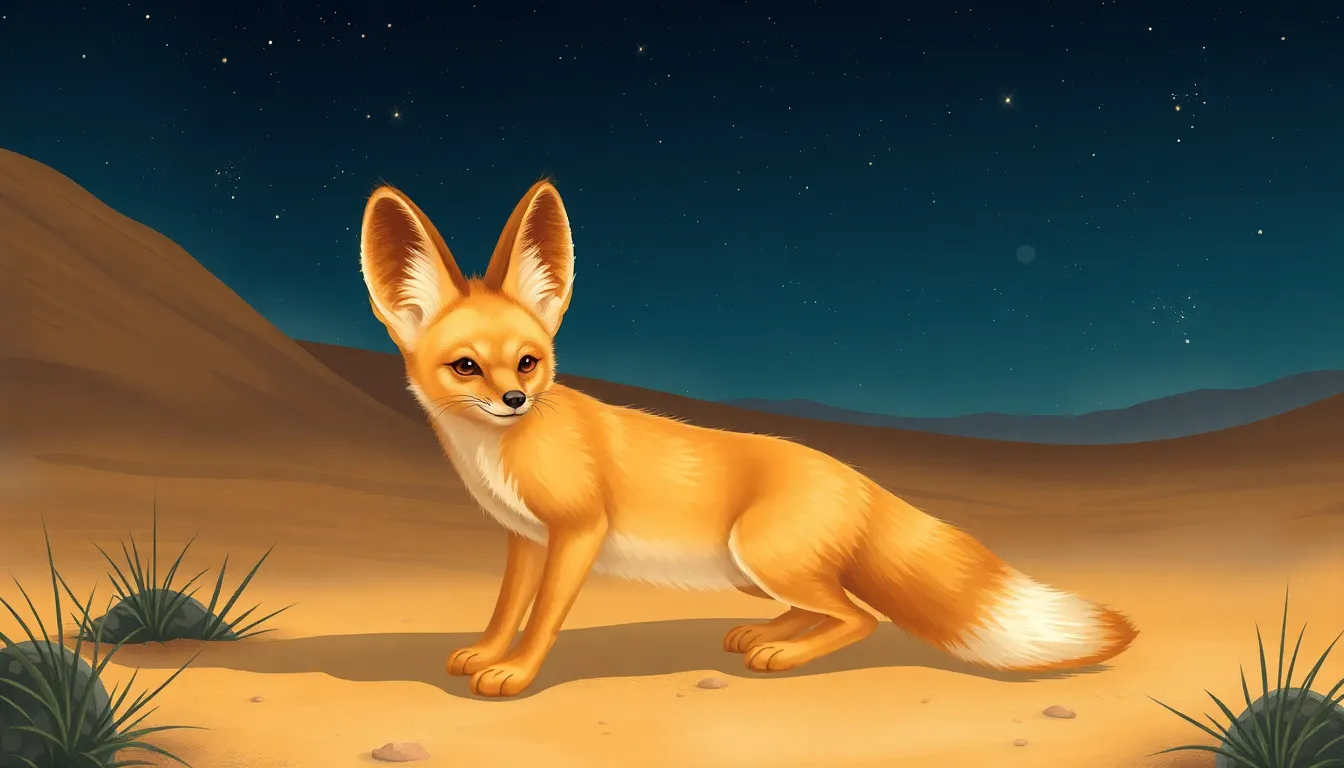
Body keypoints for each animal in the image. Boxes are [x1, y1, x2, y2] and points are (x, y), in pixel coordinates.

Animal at [358, 180, 1138, 698]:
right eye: (466, 366)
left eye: (527, 361)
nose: (515, 401)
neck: (496, 456)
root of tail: (855, 477)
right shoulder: (525, 539)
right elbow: (505, 608)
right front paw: (488, 650)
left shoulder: (576, 531)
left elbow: (544, 616)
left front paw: (517, 671)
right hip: (749, 569)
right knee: (825, 607)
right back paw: (765, 636)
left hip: (761, 553)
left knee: (860, 618)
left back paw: (783, 657)